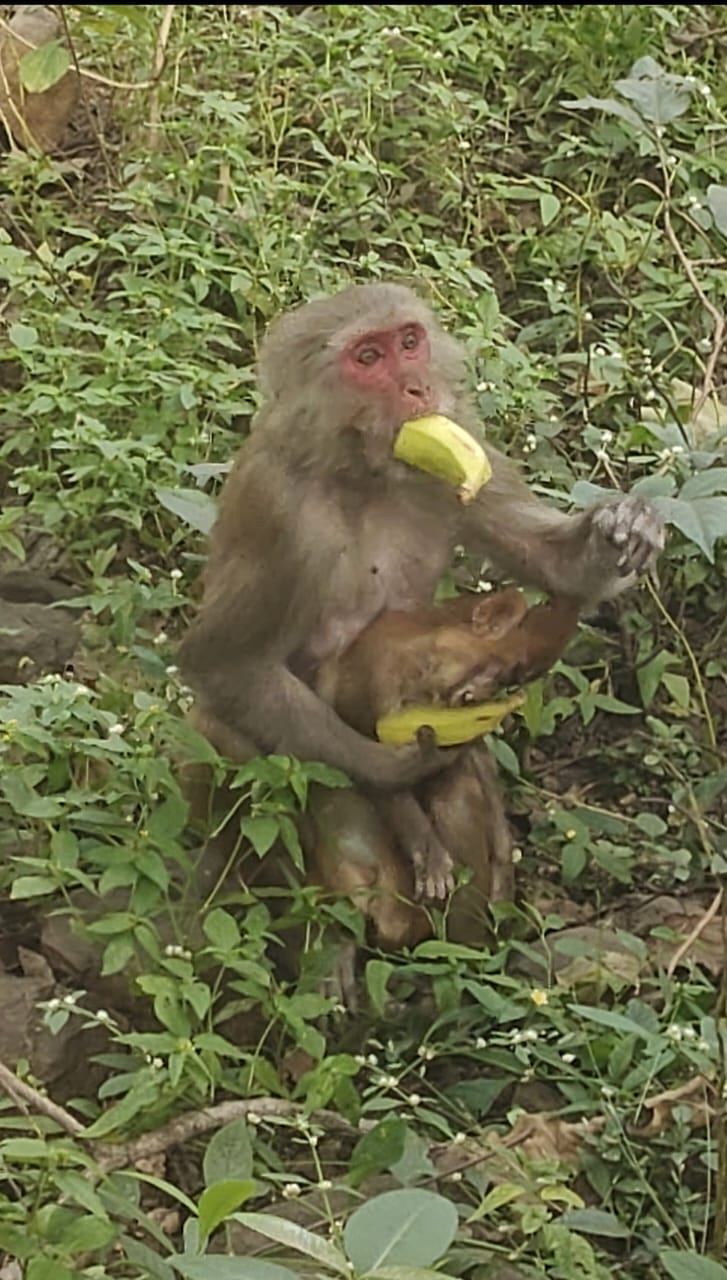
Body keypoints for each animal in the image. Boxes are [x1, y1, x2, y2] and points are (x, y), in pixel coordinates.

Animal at [179, 281, 664, 957]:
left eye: (409, 342)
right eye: (368, 357)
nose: (416, 388)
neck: (360, 469)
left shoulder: (461, 439)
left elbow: (551, 566)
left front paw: (625, 525)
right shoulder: (278, 509)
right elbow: (224, 664)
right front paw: (392, 771)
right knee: (224, 733)